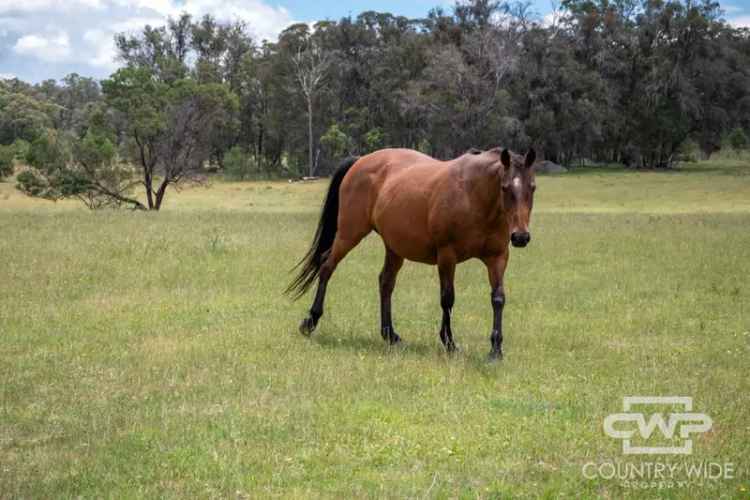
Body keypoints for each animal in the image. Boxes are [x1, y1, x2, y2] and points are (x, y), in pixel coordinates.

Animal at [284, 146, 536, 360]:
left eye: (532, 187)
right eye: (505, 188)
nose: (521, 237)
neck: (473, 196)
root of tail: (361, 160)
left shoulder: (498, 258)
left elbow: (498, 298)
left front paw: (496, 349)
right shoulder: (447, 255)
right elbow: (447, 298)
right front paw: (449, 343)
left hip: (394, 247)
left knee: (385, 282)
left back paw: (390, 334)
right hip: (349, 234)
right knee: (327, 266)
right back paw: (310, 321)